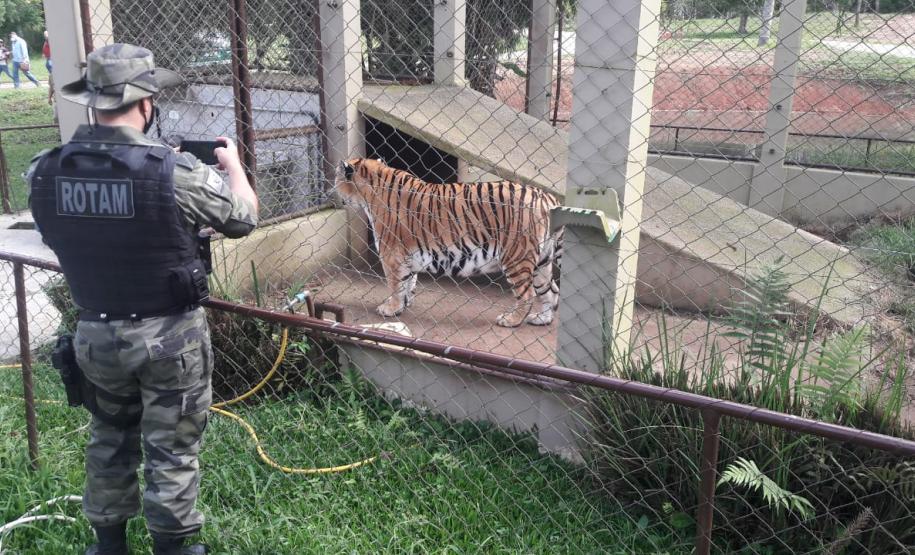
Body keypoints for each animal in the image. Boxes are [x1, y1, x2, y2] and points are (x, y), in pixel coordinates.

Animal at [335, 158, 562, 327]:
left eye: (337, 177)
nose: (333, 189)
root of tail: (547, 197)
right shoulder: (406, 254)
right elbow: (409, 281)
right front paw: (404, 305)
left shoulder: (391, 255)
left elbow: (395, 285)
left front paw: (391, 308)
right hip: (542, 260)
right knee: (550, 291)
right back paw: (542, 319)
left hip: (516, 257)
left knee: (528, 294)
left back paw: (511, 320)